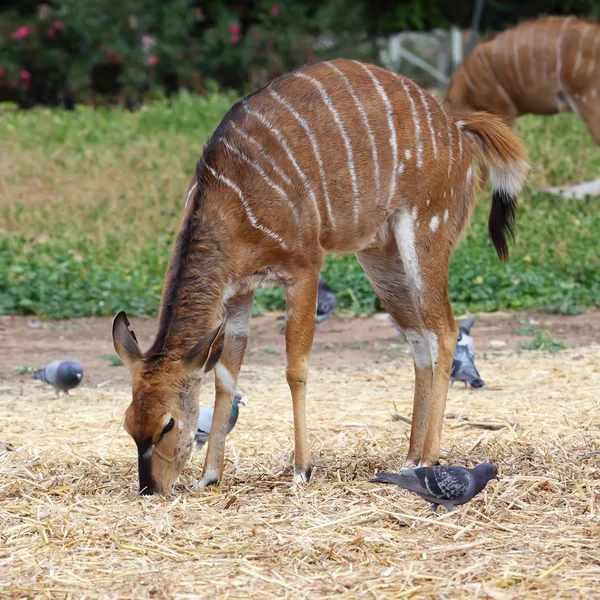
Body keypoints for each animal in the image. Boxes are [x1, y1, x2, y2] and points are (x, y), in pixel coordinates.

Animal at [113, 58, 528, 494]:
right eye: (128, 424)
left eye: (167, 424)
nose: (150, 487)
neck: (229, 203)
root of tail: (459, 127)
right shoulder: (238, 291)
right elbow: (226, 376)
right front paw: (209, 476)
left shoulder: (304, 266)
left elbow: (295, 368)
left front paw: (302, 469)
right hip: (379, 255)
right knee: (418, 338)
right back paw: (410, 456)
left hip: (427, 232)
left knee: (445, 331)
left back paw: (429, 456)